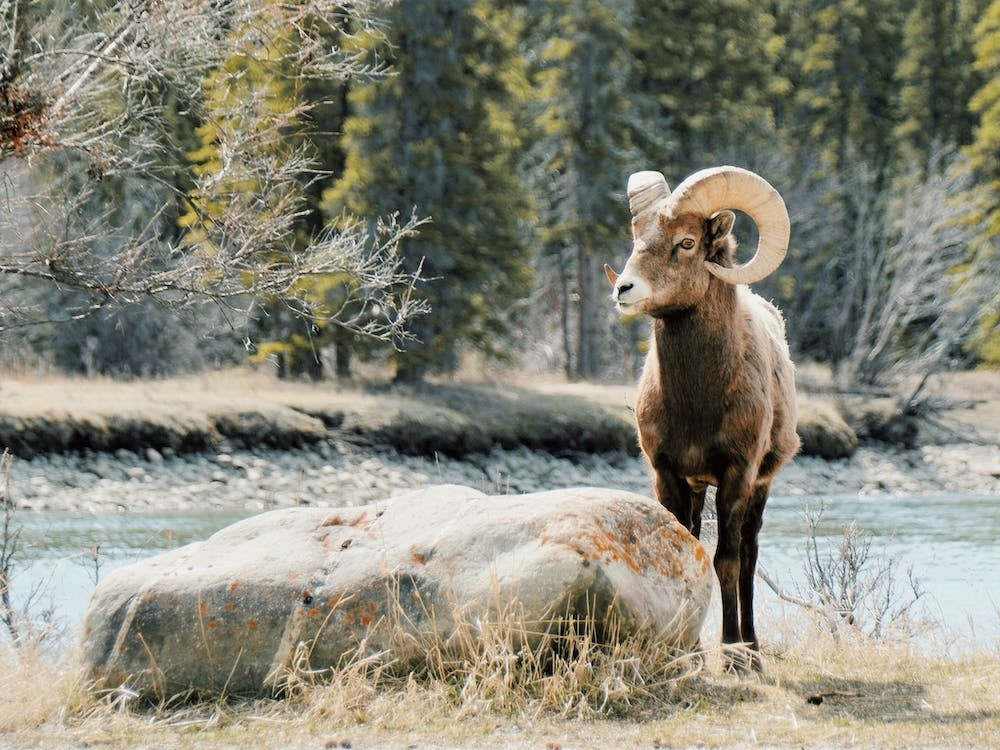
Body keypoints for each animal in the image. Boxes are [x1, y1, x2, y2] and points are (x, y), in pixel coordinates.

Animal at [604, 166, 799, 672]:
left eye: (687, 242)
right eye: (637, 238)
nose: (623, 290)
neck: (699, 403)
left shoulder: (737, 474)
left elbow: (726, 560)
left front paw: (730, 654)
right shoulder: (669, 475)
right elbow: (684, 551)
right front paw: (688, 655)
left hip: (760, 488)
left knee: (748, 557)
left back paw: (752, 649)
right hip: (697, 489)